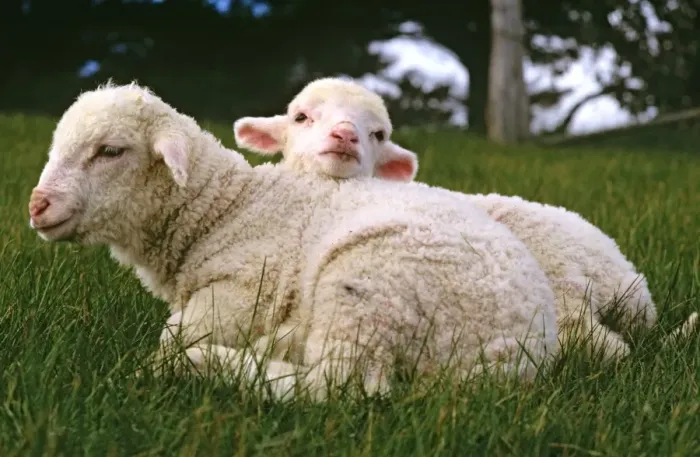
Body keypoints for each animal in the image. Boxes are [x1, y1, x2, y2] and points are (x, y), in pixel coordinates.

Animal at [28, 81, 559, 401]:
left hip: (370, 283)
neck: (227, 208)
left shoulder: (242, 290)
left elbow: (171, 340)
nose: (37, 205)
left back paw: (218, 364)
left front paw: (168, 361)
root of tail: (516, 356)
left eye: (110, 151)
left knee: (341, 386)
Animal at [234, 77, 676, 361]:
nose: (345, 135)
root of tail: (627, 276)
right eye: (301, 117)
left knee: (599, 345)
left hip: (559, 278)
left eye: (379, 134)